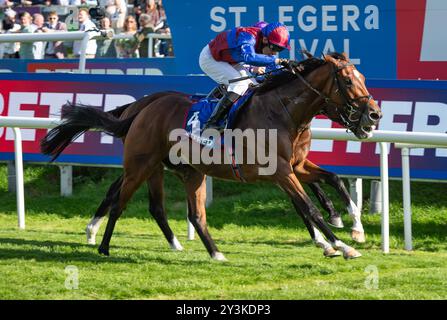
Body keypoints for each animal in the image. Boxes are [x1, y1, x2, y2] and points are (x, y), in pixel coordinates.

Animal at [42, 52, 382, 260]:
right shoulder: (280, 171)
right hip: (141, 164)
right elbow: (308, 207)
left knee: (182, 212)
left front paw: (354, 227)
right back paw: (102, 245)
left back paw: (208, 251)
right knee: (120, 201)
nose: (375, 114)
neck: (283, 113)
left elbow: (333, 179)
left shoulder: (295, 165)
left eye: (364, 78)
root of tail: (142, 108)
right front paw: (340, 245)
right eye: (348, 81)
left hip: (181, 169)